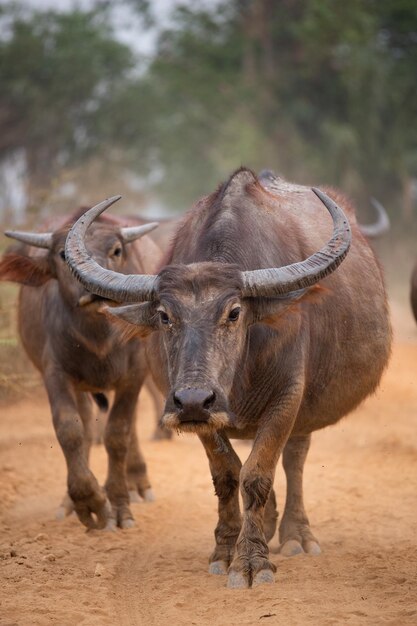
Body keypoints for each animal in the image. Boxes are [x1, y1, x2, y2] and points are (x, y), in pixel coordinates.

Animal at [0, 210, 160, 528]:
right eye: (63, 255)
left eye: (116, 250)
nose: (95, 289)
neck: (100, 337)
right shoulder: (55, 374)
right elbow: (70, 430)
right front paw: (89, 501)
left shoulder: (134, 374)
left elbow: (118, 433)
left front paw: (120, 504)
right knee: (85, 423)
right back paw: (69, 502)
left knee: (130, 425)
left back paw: (138, 483)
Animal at [64, 167, 390, 584]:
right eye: (165, 316)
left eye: (234, 312)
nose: (193, 400)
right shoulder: (201, 415)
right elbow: (227, 475)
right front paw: (225, 551)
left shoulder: (287, 397)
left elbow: (257, 474)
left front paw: (252, 561)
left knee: (293, 459)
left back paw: (295, 535)